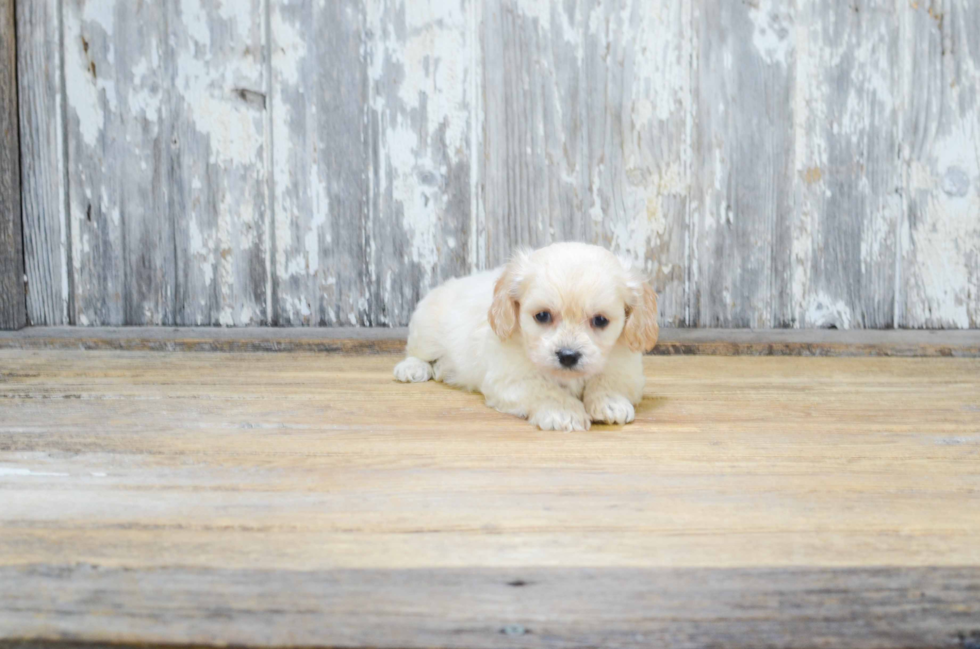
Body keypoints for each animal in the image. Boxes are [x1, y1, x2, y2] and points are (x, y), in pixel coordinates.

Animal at [390, 242, 660, 430]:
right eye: (542, 316)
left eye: (601, 320)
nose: (568, 356)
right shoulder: (510, 379)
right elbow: (542, 388)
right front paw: (563, 411)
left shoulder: (627, 368)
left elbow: (608, 380)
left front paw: (610, 402)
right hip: (427, 328)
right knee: (417, 351)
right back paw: (413, 368)